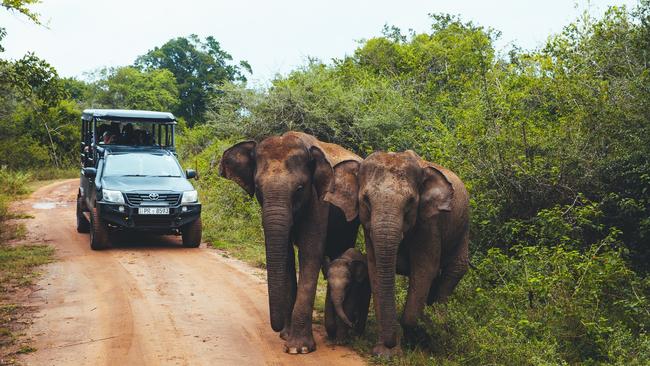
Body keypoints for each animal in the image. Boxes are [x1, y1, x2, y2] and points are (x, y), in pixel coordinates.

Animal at [218, 132, 360, 354]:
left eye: (300, 188)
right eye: (258, 189)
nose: (276, 329)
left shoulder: (318, 200)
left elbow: (310, 253)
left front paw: (298, 348)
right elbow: (285, 256)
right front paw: (286, 335)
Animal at [332, 150, 468, 356]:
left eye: (411, 202)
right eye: (366, 200)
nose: (389, 346)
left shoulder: (429, 223)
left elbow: (424, 270)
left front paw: (413, 343)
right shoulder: (368, 228)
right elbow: (375, 269)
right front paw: (384, 352)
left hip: (463, 231)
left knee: (453, 273)